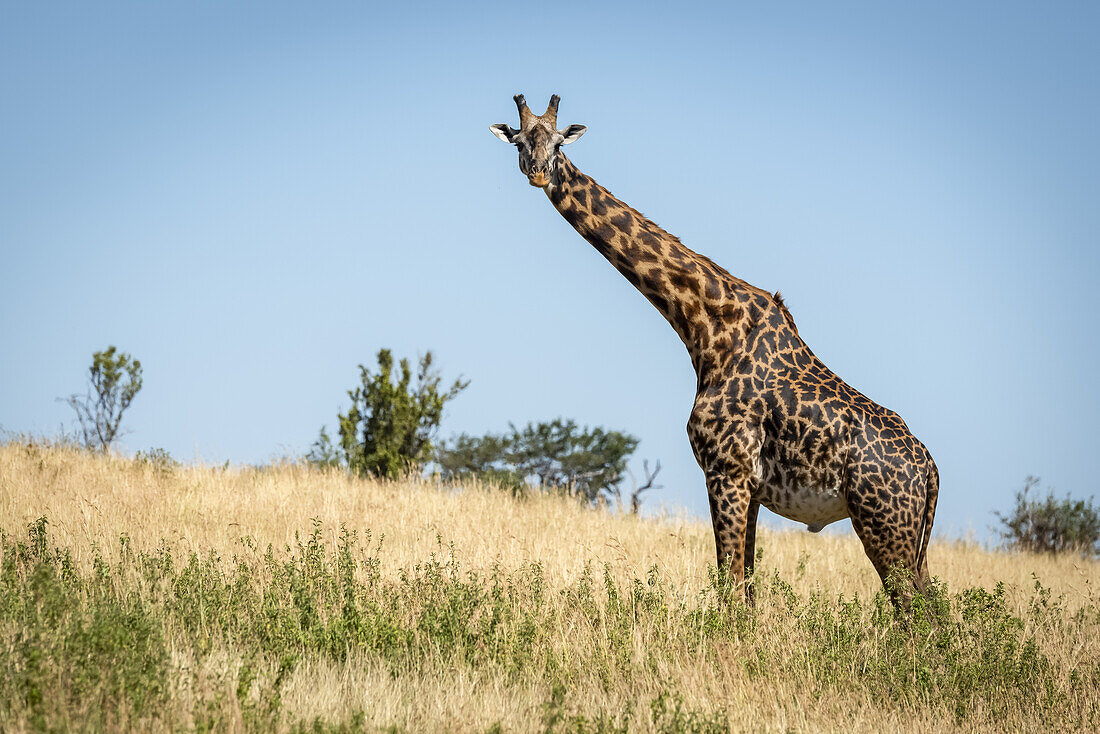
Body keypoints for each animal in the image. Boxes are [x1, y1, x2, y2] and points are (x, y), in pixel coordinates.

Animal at [490, 94, 937, 607]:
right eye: (520, 142)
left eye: (559, 142)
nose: (539, 172)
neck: (705, 329)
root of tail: (930, 470)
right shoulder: (749, 487)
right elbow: (745, 588)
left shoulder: (727, 471)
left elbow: (730, 586)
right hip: (912, 540)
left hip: (884, 526)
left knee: (912, 610)